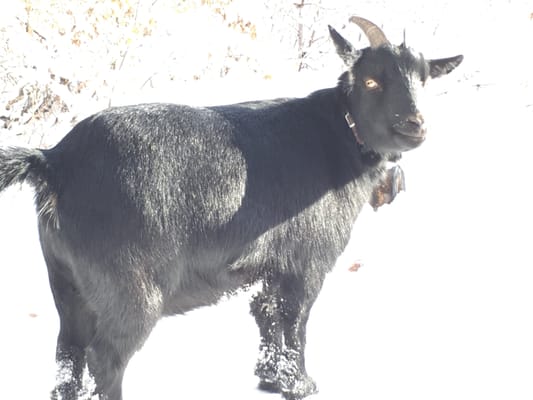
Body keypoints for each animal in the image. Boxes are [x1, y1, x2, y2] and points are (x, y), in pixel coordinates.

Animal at [0, 16, 462, 400]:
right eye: (370, 82)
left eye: (424, 80)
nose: (416, 125)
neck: (339, 138)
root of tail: (55, 161)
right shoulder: (306, 262)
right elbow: (294, 322)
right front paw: (302, 384)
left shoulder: (266, 267)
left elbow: (266, 316)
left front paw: (271, 378)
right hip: (130, 288)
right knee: (105, 359)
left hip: (66, 282)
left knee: (68, 352)